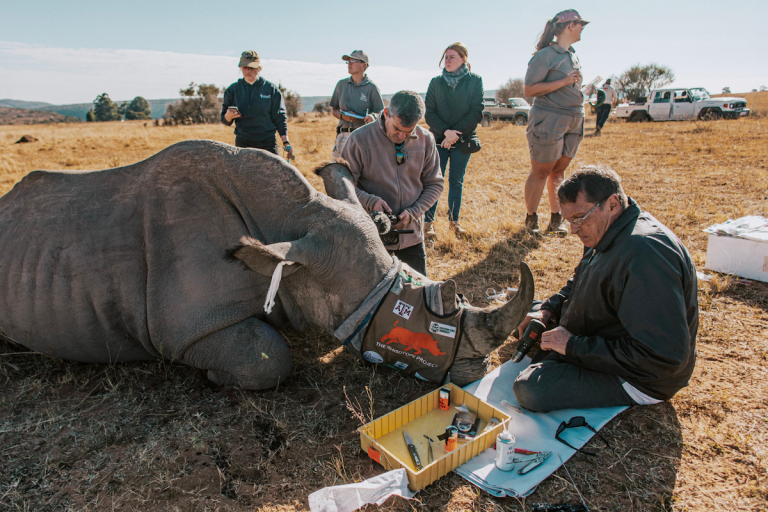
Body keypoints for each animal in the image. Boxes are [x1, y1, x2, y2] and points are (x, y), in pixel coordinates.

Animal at [0, 140, 533, 390]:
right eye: (423, 319)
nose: (480, 371)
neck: (291, 222)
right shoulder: (187, 329)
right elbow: (271, 357)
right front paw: (217, 378)